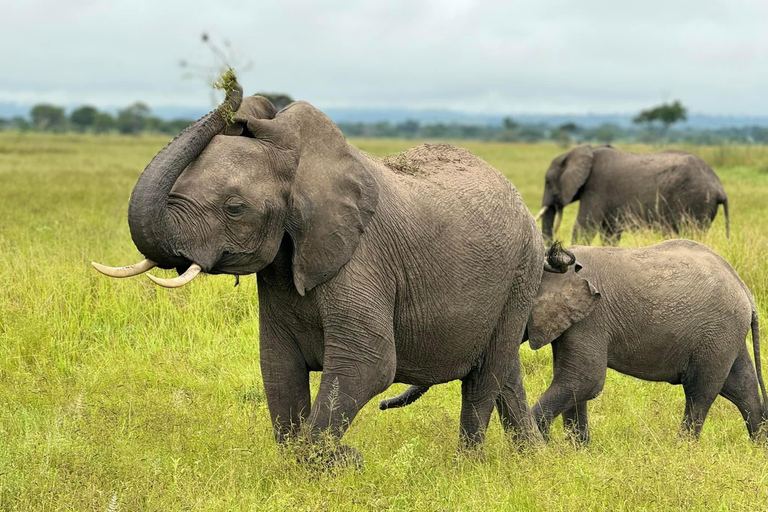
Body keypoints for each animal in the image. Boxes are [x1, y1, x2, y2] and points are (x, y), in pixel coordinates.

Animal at [93, 77, 560, 464]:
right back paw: (533, 460)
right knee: (505, 372)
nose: (233, 87)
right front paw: (305, 465)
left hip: (520, 271)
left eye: (234, 208)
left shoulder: (361, 258)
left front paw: (338, 460)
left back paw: (466, 466)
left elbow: (367, 363)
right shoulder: (283, 266)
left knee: (484, 376)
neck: (303, 163)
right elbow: (278, 366)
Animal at [380, 240, 764, 444]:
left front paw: (547, 444)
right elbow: (577, 385)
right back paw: (759, 446)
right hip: (725, 333)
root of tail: (745, 289)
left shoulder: (591, 319)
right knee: (740, 385)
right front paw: (578, 452)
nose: (382, 406)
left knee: (700, 391)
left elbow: (585, 379)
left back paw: (682, 448)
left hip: (717, 332)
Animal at [536, 145, 728, 245]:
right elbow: (610, 233)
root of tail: (719, 186)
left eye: (547, 182)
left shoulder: (596, 188)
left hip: (696, 202)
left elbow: (585, 226)